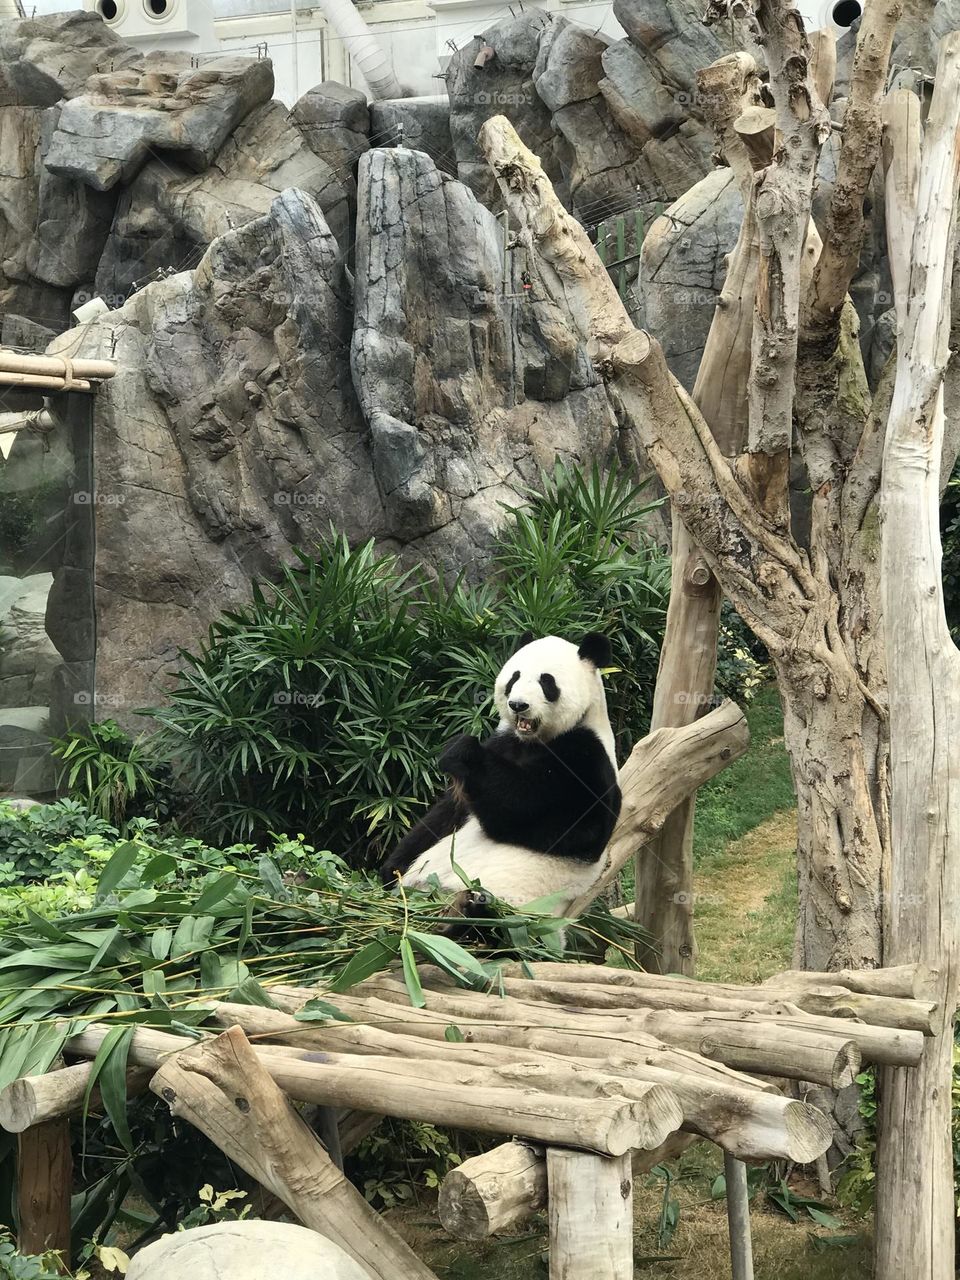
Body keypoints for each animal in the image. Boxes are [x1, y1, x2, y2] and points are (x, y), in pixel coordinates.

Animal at [381, 633, 621, 910]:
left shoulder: (588, 759)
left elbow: (553, 820)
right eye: (514, 677)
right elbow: (445, 816)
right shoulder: (505, 743)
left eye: (546, 681)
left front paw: (463, 752)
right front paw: (391, 868)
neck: (533, 741)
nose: (518, 705)